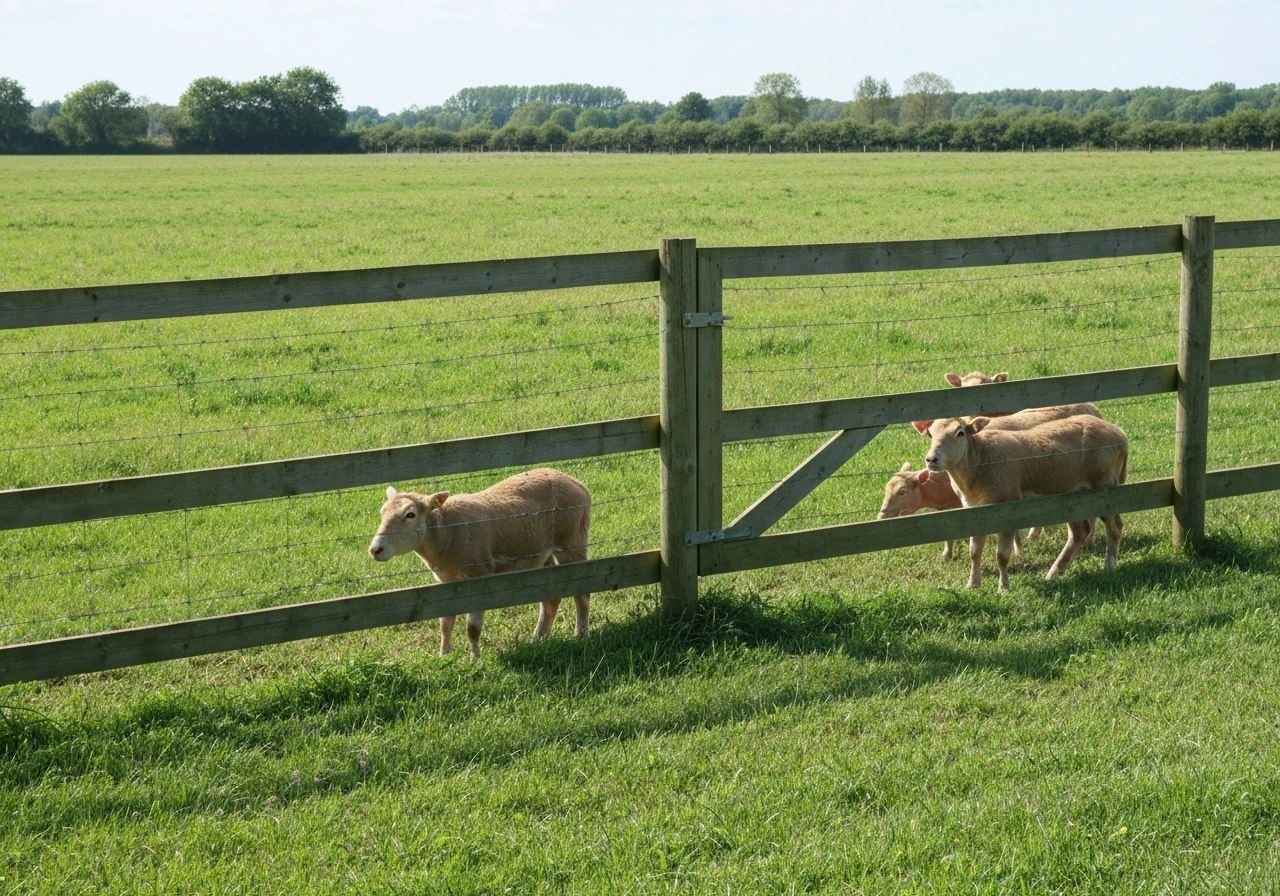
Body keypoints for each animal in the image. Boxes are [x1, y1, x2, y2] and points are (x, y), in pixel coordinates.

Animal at [368, 467, 591, 659]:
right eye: (382, 512)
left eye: (410, 514)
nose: (375, 549)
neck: (445, 533)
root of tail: (579, 484)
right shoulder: (446, 581)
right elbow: (445, 622)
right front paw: (444, 656)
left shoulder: (479, 576)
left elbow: (472, 628)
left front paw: (475, 659)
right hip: (541, 553)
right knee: (551, 599)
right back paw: (537, 640)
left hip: (572, 542)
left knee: (582, 591)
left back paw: (581, 634)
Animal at [919, 414, 1127, 592]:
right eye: (931, 434)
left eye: (960, 433)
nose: (931, 459)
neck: (981, 460)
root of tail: (1118, 432)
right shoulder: (975, 511)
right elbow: (974, 552)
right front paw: (973, 585)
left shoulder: (1007, 511)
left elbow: (1002, 556)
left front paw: (1003, 588)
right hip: (1072, 497)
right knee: (1079, 533)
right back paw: (1054, 573)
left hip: (1106, 487)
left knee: (1115, 528)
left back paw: (1109, 566)